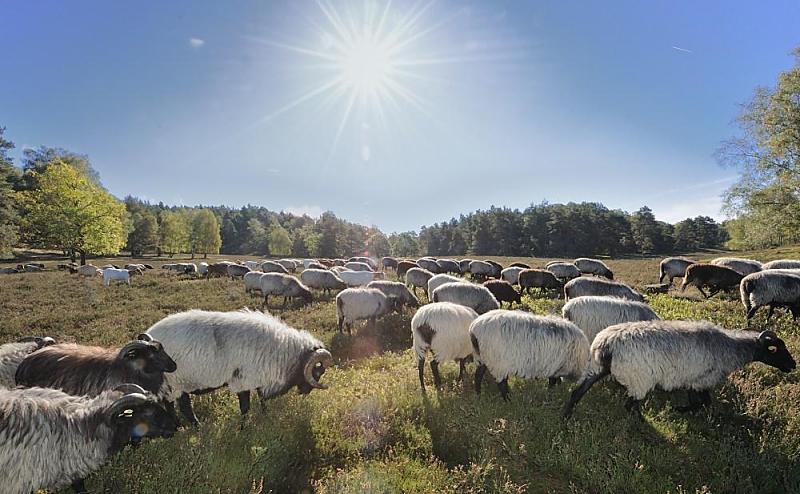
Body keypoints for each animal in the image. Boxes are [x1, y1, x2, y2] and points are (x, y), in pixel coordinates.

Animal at [145, 306, 332, 422]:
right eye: (319, 370)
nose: (306, 392)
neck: (282, 350)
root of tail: (148, 337)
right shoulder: (242, 381)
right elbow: (245, 408)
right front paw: (243, 429)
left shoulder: (258, 379)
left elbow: (262, 401)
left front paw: (265, 418)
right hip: (176, 382)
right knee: (184, 408)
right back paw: (196, 428)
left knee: (171, 406)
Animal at [564, 322, 796, 418]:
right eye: (776, 349)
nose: (793, 365)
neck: (733, 349)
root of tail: (607, 344)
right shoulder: (701, 380)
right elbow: (703, 403)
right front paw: (681, 410)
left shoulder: (691, 381)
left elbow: (698, 402)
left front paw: (683, 410)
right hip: (639, 378)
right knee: (630, 405)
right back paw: (641, 422)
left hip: (596, 367)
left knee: (578, 391)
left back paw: (567, 416)